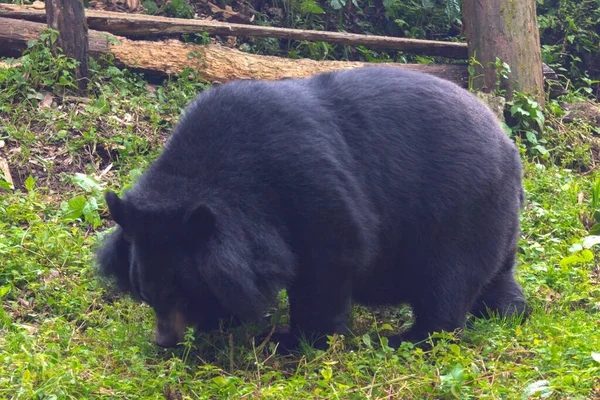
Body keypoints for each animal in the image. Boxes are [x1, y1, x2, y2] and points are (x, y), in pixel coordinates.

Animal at [98, 67, 528, 348]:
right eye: (144, 291)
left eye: (176, 292)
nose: (163, 341)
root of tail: (509, 149)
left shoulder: (309, 187)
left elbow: (330, 260)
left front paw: (292, 340)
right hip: (492, 222)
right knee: (494, 277)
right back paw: (507, 312)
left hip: (458, 213)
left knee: (446, 284)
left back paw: (410, 338)